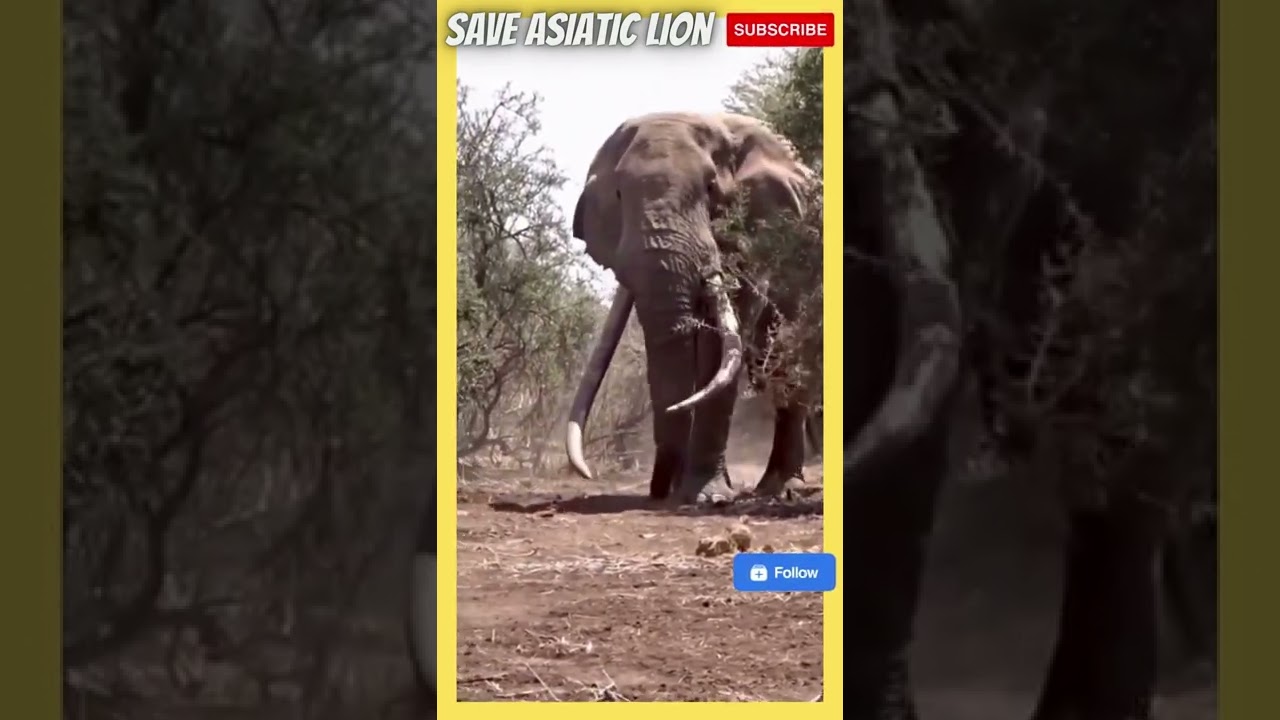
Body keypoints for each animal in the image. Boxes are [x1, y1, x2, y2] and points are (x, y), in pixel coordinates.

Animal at [562, 111, 820, 504]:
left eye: (711, 188)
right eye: (619, 194)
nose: (659, 491)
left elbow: (719, 347)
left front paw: (706, 496)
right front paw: (694, 490)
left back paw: (778, 488)